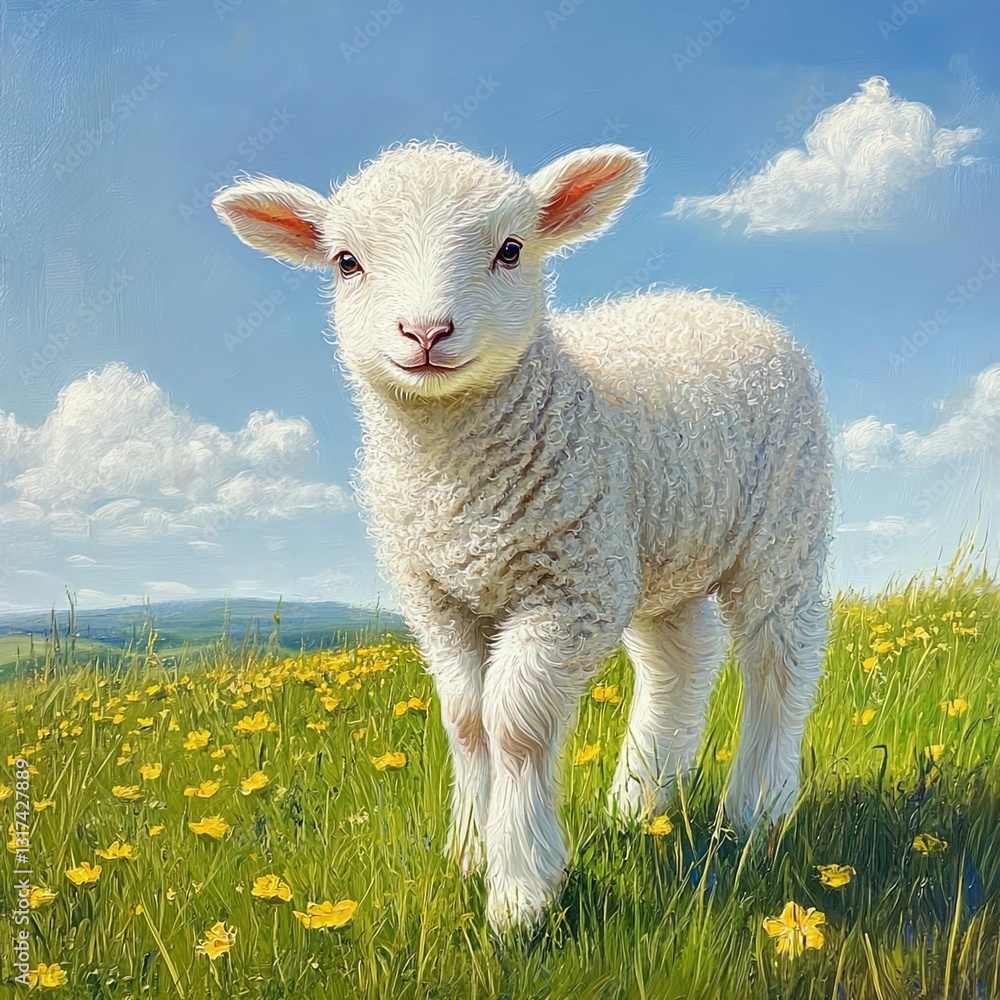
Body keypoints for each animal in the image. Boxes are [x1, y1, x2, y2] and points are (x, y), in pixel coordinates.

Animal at [212, 140, 834, 933]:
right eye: (345, 261)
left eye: (510, 250)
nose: (425, 333)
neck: (456, 484)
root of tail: (714, 302)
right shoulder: (438, 598)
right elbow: (465, 719)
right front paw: (468, 851)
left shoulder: (568, 593)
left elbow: (513, 724)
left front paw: (519, 892)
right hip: (656, 548)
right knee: (680, 661)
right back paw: (639, 805)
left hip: (784, 522)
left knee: (779, 659)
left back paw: (756, 811)